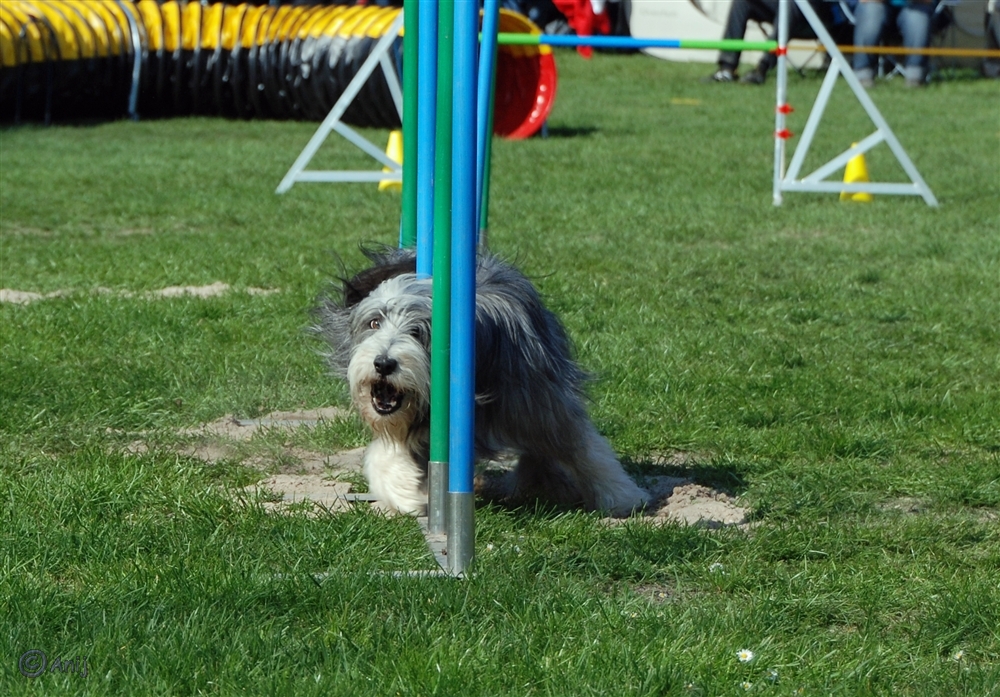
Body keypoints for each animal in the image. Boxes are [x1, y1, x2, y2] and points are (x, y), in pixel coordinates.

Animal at [316, 250, 652, 516]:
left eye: (418, 332)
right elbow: (385, 451)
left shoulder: (533, 396)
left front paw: (623, 496)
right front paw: (404, 491)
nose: (384, 363)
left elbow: (580, 443)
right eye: (374, 322)